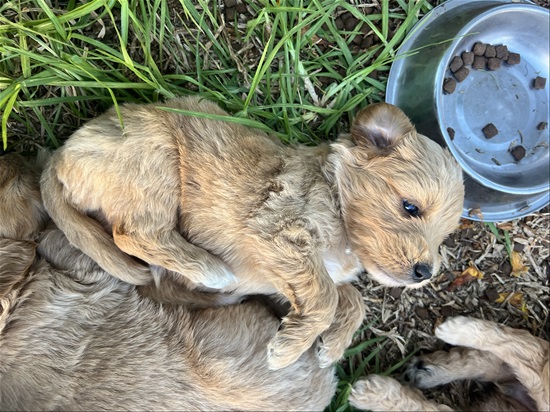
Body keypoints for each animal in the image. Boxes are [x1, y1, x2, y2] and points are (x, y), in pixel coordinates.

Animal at [41, 97, 468, 370]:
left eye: (443, 236)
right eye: (410, 207)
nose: (425, 273)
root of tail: (60, 155)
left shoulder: (287, 279)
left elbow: (350, 298)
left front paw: (331, 346)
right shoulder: (279, 232)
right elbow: (327, 297)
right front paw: (288, 351)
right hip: (154, 159)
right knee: (134, 233)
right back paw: (208, 269)